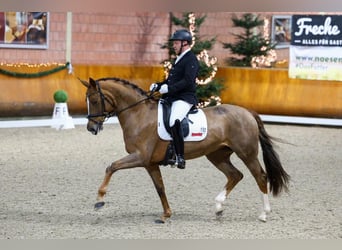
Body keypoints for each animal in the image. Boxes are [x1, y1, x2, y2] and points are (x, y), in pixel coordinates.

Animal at [80, 76, 288, 223]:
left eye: (95, 100)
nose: (91, 128)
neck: (138, 114)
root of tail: (248, 112)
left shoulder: (140, 157)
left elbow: (112, 167)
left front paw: (99, 199)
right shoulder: (150, 163)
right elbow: (160, 187)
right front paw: (166, 214)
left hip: (246, 153)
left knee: (260, 176)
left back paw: (264, 214)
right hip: (217, 155)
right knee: (235, 175)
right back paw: (219, 206)